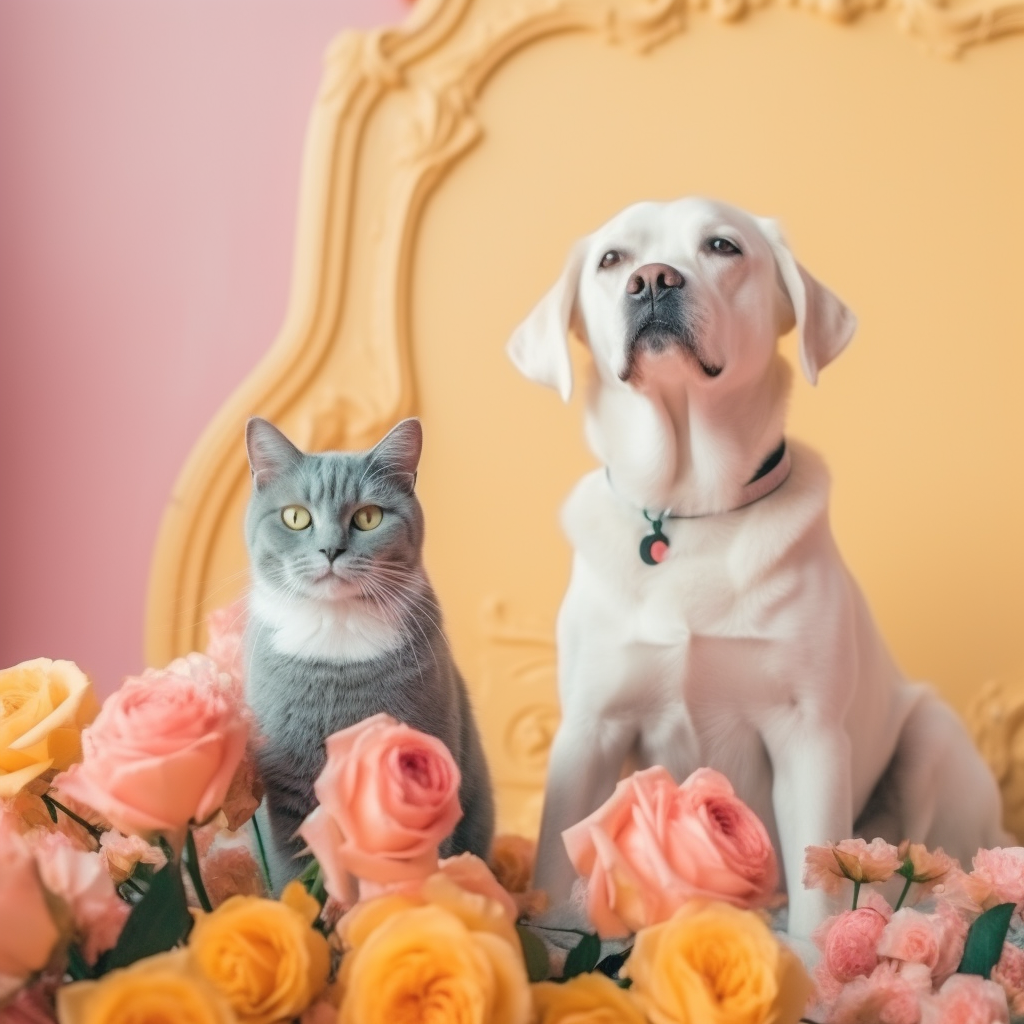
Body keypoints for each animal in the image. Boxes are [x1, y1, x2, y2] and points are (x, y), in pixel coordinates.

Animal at [241, 415, 493, 880]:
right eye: (296, 517)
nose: (330, 549)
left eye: (369, 517)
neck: (336, 632)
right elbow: (293, 873)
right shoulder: (285, 790)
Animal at [507, 195, 1003, 937]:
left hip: (934, 738)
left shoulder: (809, 732)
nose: (653, 280)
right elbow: (551, 865)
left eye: (722, 246)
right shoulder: (590, 727)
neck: (689, 509)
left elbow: (820, 886)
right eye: (612, 259)